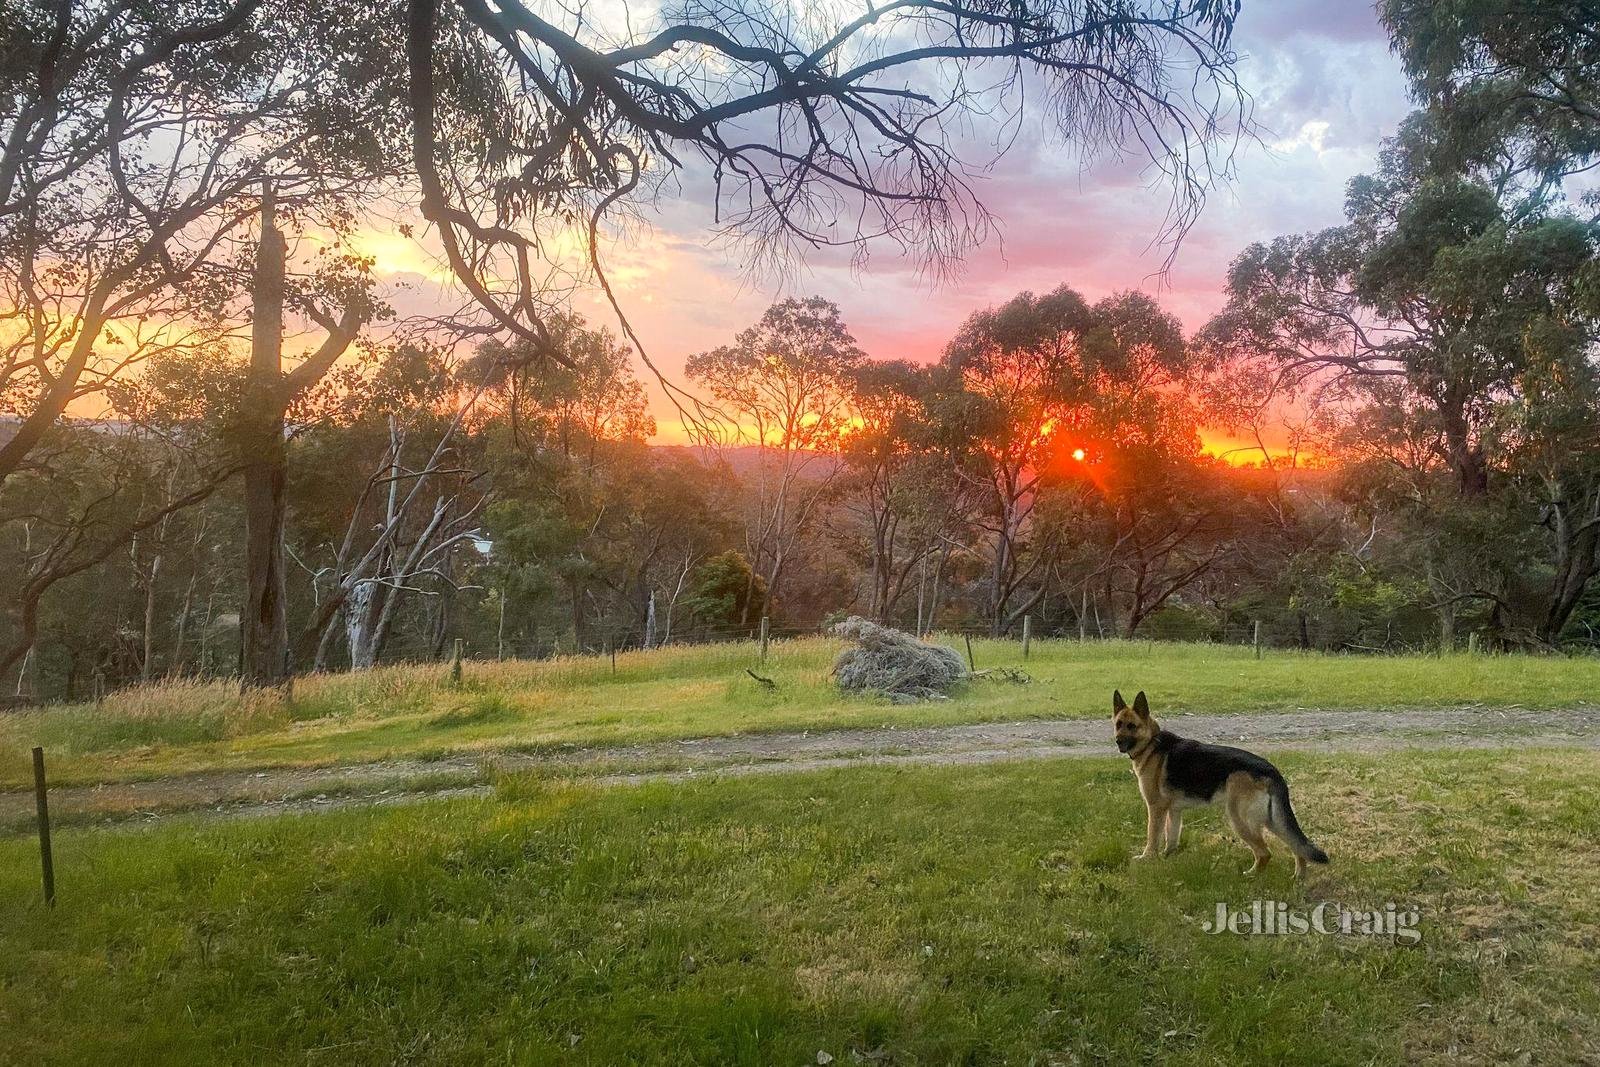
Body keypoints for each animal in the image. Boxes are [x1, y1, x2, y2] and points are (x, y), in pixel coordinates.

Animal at [1113, 694, 1324, 876]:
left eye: (1132, 726)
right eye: (1118, 724)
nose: (1117, 742)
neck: (1151, 743)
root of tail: (1271, 770)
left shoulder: (1156, 808)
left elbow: (1152, 836)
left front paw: (1147, 858)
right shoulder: (1174, 811)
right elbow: (1171, 838)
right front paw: (1167, 859)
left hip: (1239, 819)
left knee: (1265, 853)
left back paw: (1251, 876)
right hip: (1272, 819)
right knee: (1297, 846)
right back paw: (1298, 877)